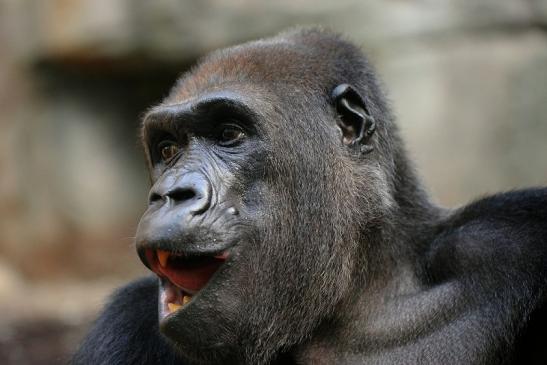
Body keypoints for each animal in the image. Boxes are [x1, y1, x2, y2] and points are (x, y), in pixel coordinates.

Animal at [73, 27, 547, 362]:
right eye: (168, 149)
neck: (363, 287)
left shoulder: (512, 239)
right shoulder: (126, 319)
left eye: (229, 134)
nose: (170, 194)